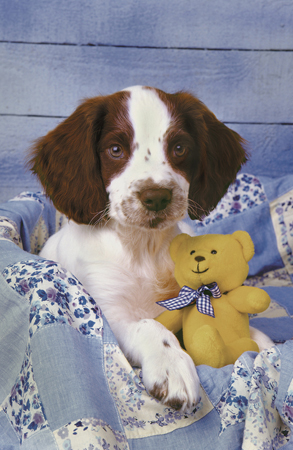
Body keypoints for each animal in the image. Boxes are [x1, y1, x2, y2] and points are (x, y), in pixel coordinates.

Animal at [28, 86, 246, 414]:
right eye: (115, 150)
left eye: (179, 147)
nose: (156, 197)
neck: (143, 247)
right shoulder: (107, 314)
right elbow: (149, 325)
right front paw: (172, 366)